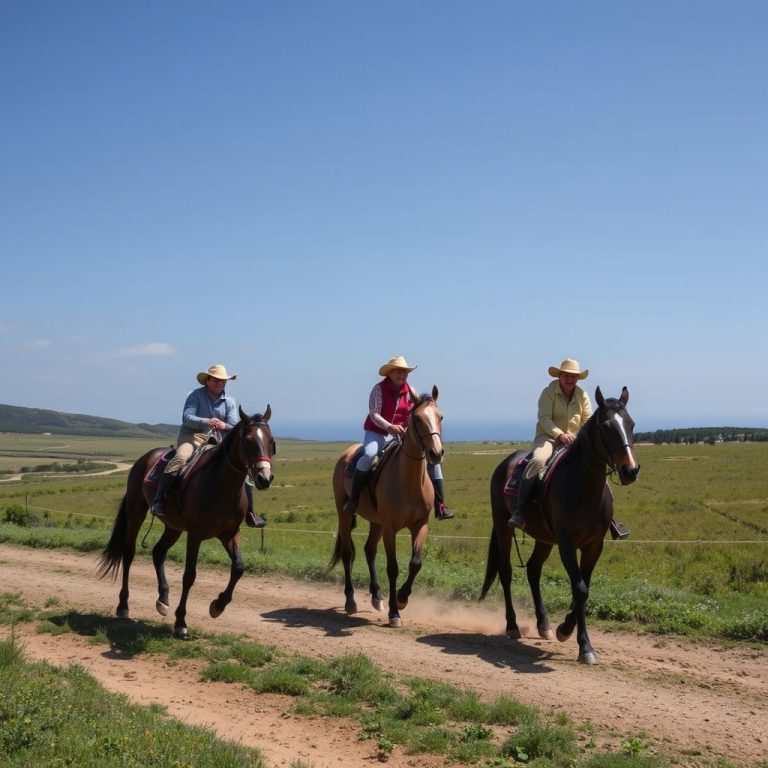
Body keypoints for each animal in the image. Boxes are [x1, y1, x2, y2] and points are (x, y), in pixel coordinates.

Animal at [98, 406, 275, 638]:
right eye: (248, 440)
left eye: (271, 441)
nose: (264, 478)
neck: (221, 486)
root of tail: (144, 458)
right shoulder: (195, 534)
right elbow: (189, 575)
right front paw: (180, 621)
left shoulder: (230, 533)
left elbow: (238, 567)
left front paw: (218, 605)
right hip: (136, 513)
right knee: (129, 554)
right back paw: (123, 606)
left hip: (173, 527)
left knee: (158, 552)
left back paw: (163, 600)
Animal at [330, 386, 443, 628]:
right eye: (418, 419)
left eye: (440, 417)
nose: (436, 453)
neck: (408, 481)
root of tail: (347, 453)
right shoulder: (391, 528)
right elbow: (393, 568)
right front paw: (394, 612)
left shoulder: (420, 525)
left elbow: (415, 563)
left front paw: (401, 598)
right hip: (345, 514)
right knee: (347, 552)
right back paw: (350, 600)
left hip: (376, 522)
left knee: (369, 550)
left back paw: (376, 596)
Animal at [480, 387, 639, 664]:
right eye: (607, 426)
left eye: (630, 424)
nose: (630, 469)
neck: (583, 488)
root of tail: (504, 463)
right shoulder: (566, 543)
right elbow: (580, 588)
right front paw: (584, 646)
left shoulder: (594, 545)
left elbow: (584, 588)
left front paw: (565, 629)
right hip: (503, 526)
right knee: (506, 571)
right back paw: (512, 625)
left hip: (544, 538)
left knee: (533, 570)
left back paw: (544, 625)